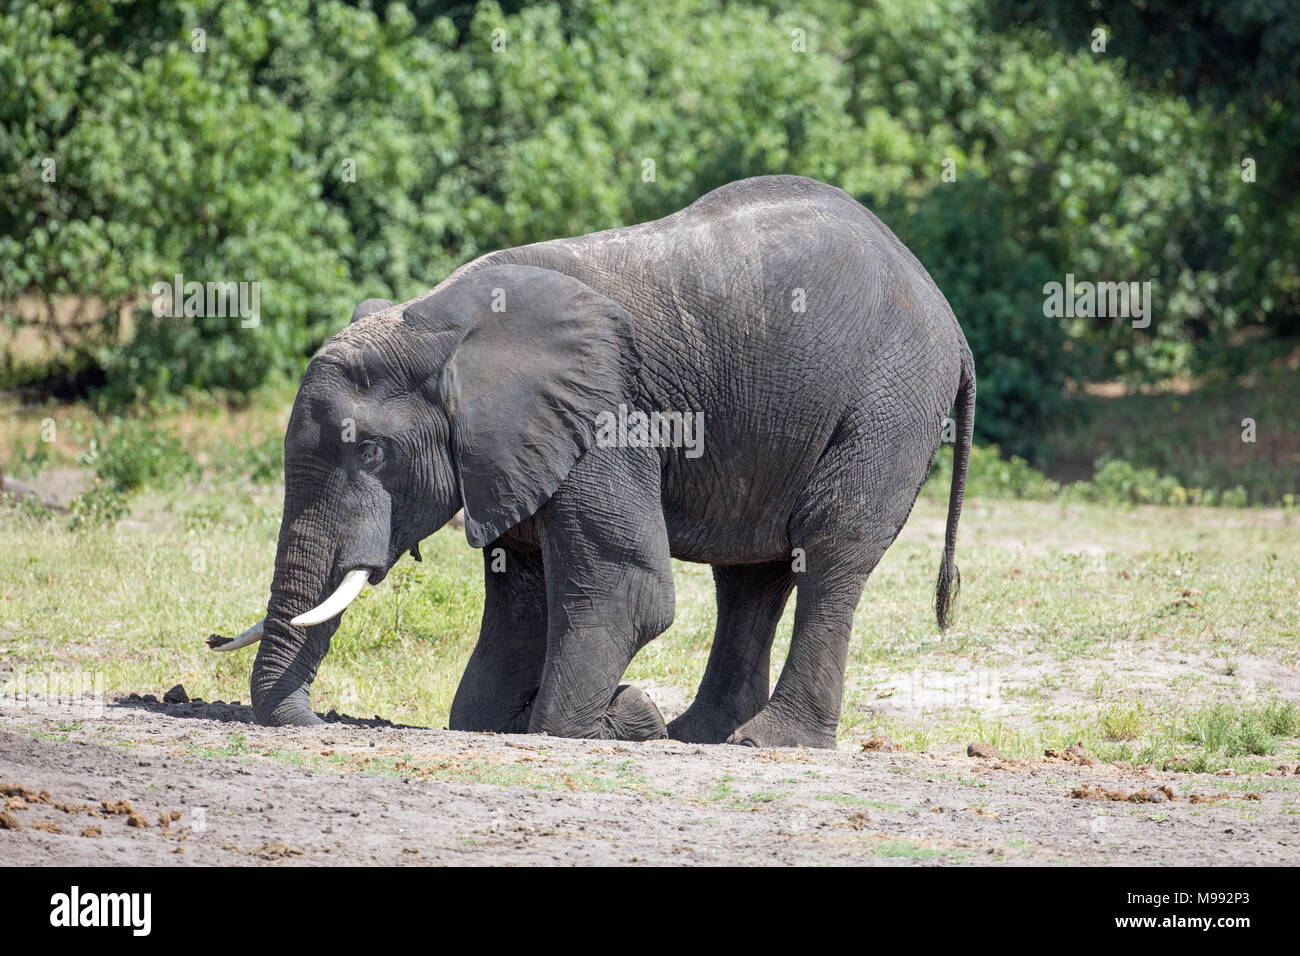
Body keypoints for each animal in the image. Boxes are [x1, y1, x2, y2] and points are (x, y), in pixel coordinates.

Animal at [208, 175, 972, 749]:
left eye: (371, 451)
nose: (313, 722)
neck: (439, 322)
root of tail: (948, 314)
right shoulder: (517, 448)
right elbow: (520, 589)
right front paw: (532, 717)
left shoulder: (604, 412)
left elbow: (624, 586)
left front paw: (620, 716)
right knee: (753, 574)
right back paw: (698, 733)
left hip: (888, 405)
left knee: (829, 550)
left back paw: (767, 740)